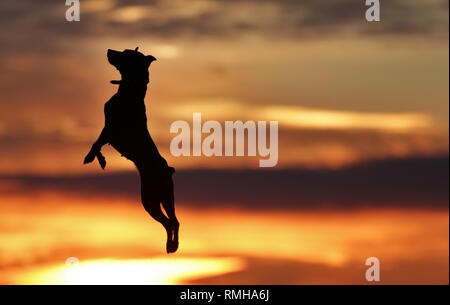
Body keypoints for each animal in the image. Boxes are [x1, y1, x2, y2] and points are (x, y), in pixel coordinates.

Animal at [83, 47, 178, 252]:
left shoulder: (111, 129)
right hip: (153, 199)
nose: (109, 50)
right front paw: (100, 159)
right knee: (169, 222)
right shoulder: (107, 129)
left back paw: (173, 245)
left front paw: (91, 157)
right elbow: (98, 143)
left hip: (160, 197)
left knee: (173, 221)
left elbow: (96, 143)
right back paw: (170, 244)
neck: (130, 89)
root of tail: (168, 170)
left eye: (126, 54)